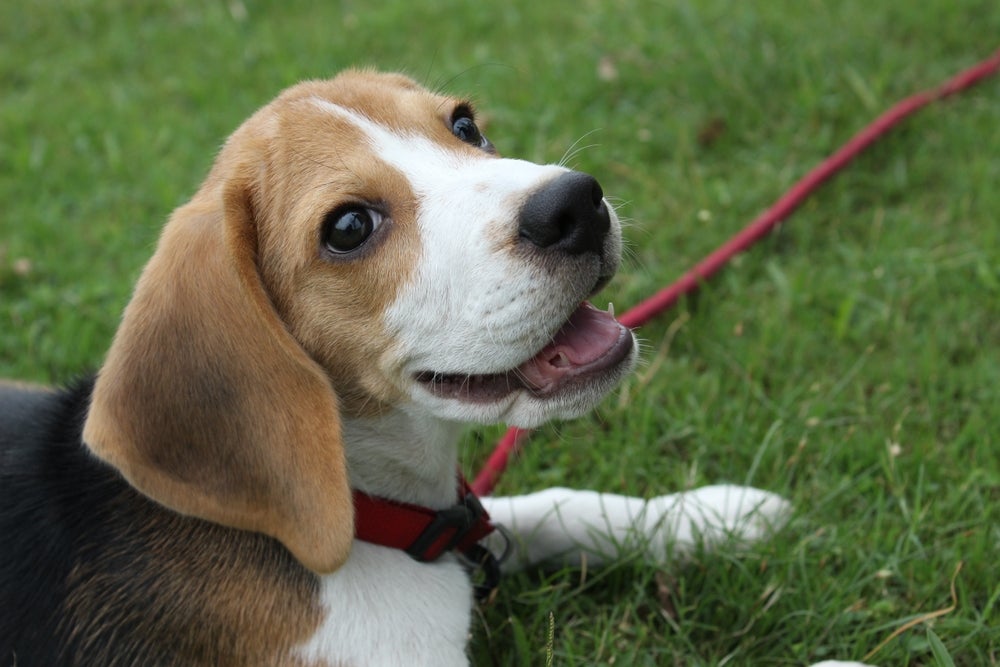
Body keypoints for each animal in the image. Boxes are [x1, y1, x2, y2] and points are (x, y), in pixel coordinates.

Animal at [0, 70, 872, 664]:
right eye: (349, 227)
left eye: (464, 124)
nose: (574, 204)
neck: (363, 522)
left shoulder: (456, 514)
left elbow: (548, 503)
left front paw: (712, 515)